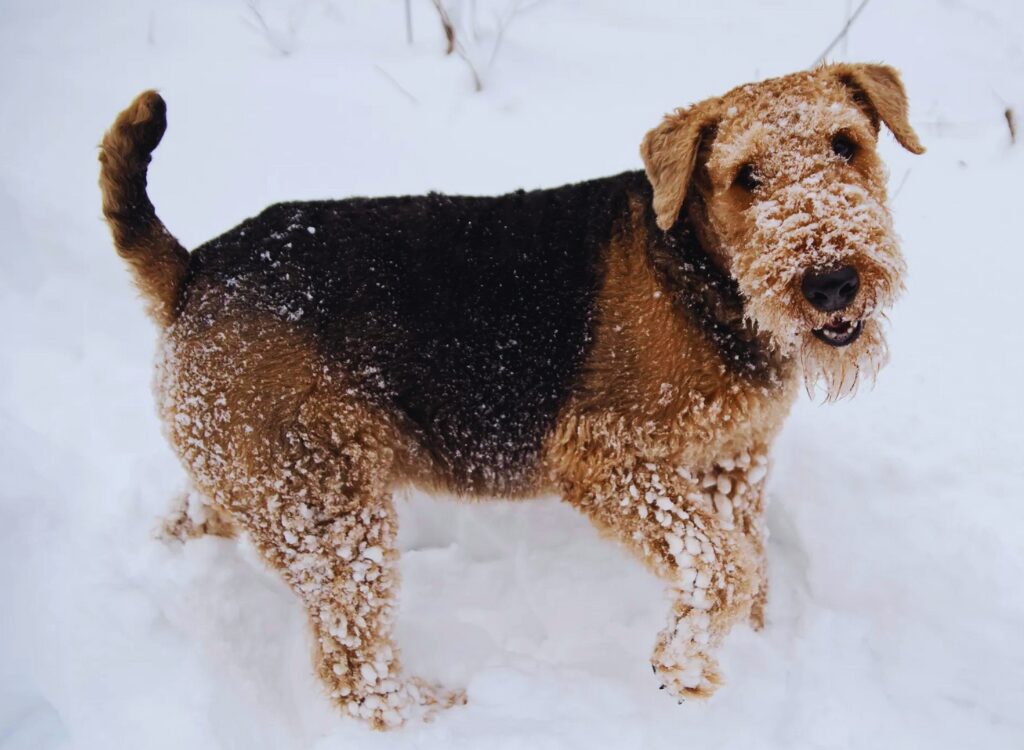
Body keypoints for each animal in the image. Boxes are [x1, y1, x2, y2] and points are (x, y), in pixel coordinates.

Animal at [99, 61, 925, 729]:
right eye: (745, 174)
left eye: (847, 144)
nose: (831, 282)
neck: (700, 270)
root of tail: (193, 270)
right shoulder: (606, 453)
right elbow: (721, 565)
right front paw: (682, 668)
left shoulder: (733, 463)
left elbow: (747, 566)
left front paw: (750, 653)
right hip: (328, 504)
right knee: (352, 664)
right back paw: (437, 712)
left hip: (253, 475)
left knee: (191, 520)